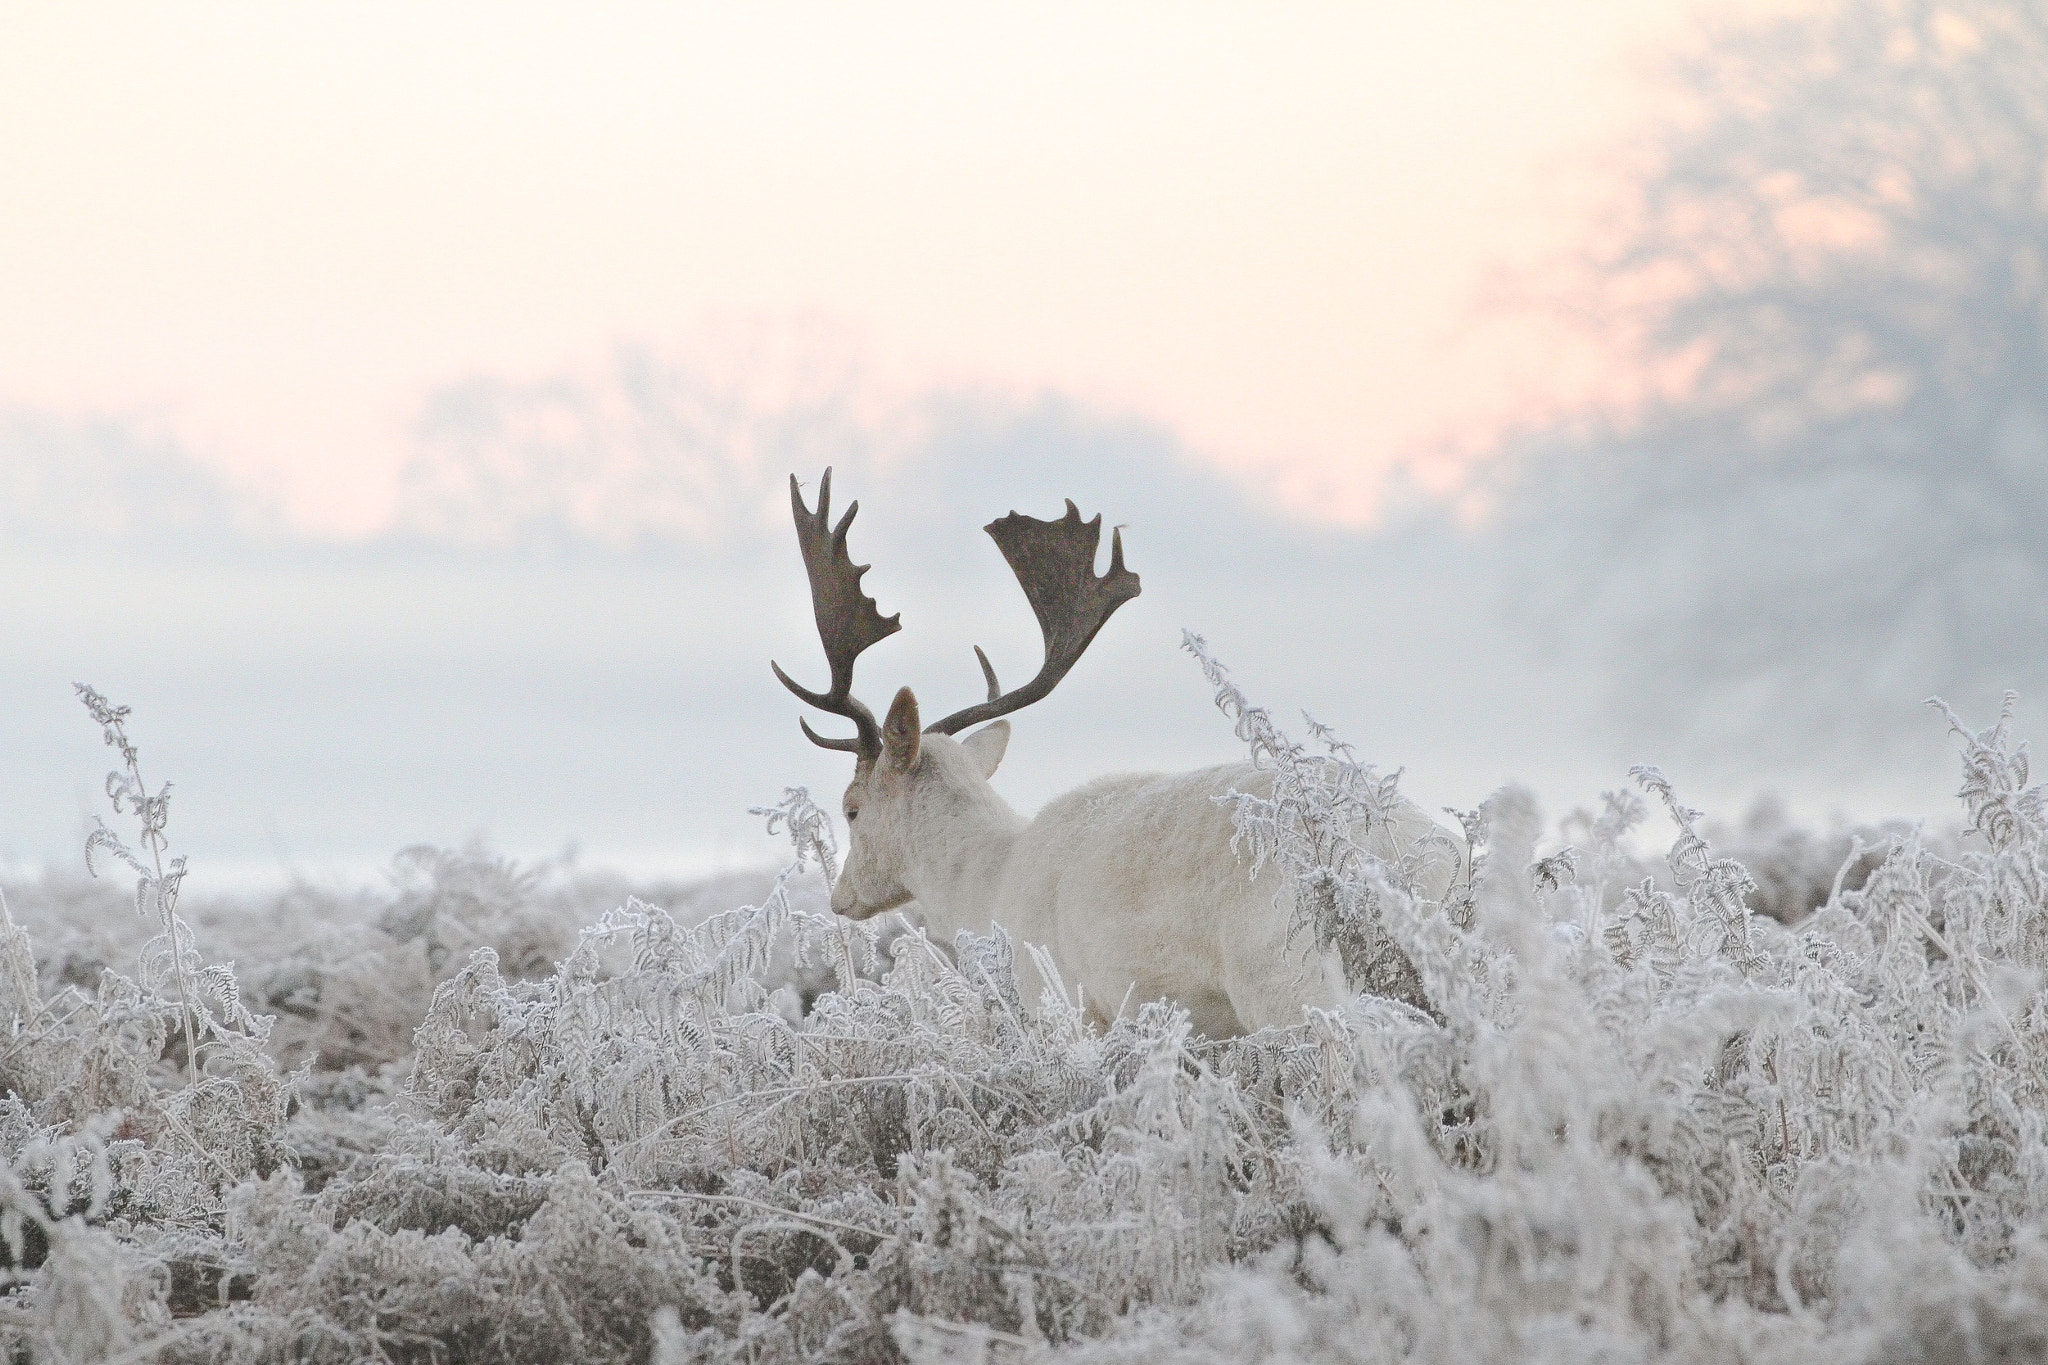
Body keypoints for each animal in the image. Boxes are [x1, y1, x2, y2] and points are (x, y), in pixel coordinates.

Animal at [771, 468, 1452, 1037]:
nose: (841, 898)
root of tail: (1397, 864)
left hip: (1285, 976)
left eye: (851, 806)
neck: (987, 891)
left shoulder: (1063, 1001)